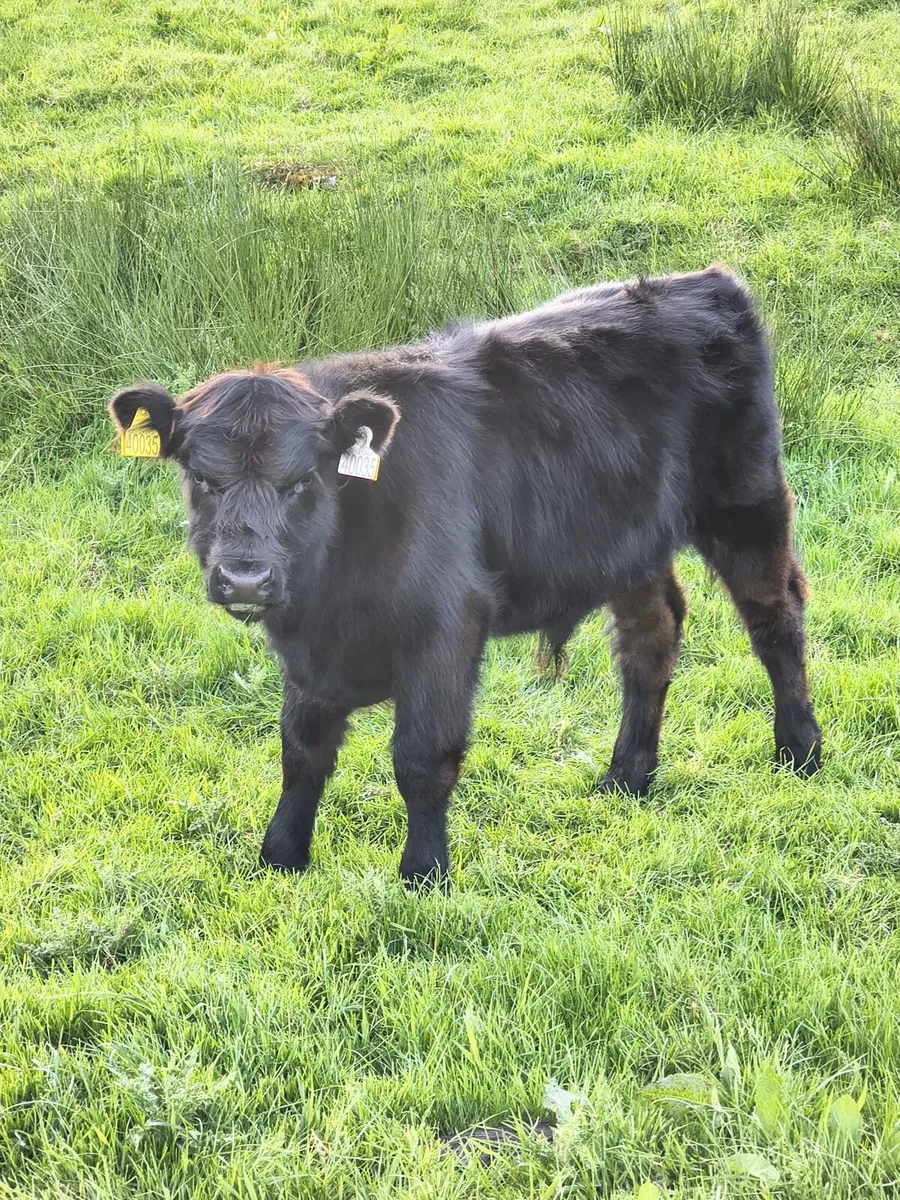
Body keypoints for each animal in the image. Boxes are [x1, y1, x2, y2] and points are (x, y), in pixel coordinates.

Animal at [108, 264, 822, 887]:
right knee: (652, 637)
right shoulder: (311, 657)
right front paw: (281, 856)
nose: (246, 580)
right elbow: (301, 750)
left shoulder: (448, 624)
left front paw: (424, 873)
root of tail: (707, 282)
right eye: (203, 478)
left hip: (747, 503)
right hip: (630, 544)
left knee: (776, 619)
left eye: (302, 480)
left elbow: (422, 757)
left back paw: (799, 753)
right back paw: (627, 777)